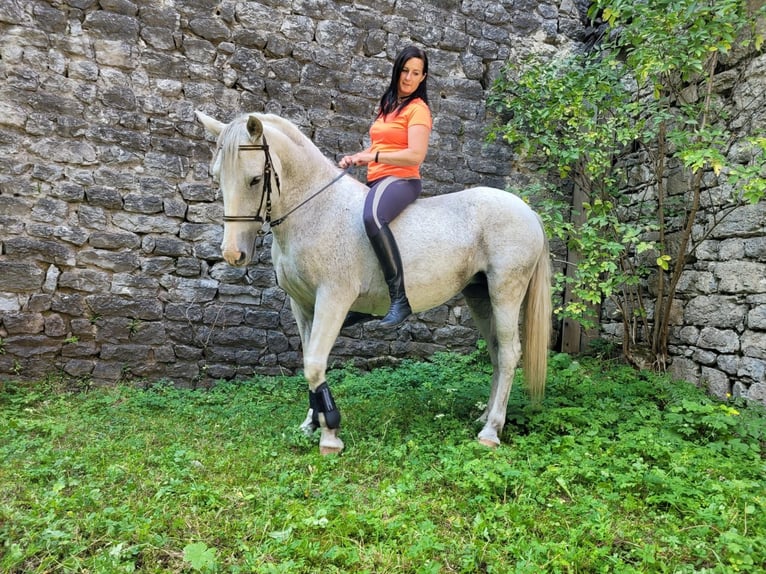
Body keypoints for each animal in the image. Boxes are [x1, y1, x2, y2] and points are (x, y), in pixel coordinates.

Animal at [192, 111, 552, 454]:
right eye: (217, 176)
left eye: (254, 179)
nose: (234, 254)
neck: (316, 211)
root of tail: (527, 211)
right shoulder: (302, 305)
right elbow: (308, 360)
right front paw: (311, 423)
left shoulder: (332, 299)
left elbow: (315, 363)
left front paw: (330, 435)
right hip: (479, 295)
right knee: (496, 351)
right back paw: (484, 417)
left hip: (506, 291)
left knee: (509, 353)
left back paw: (490, 431)